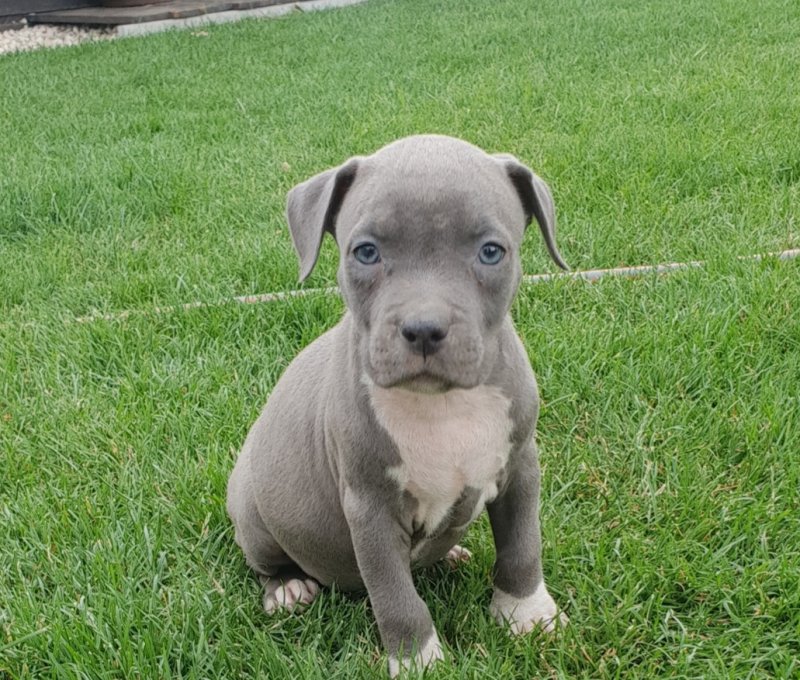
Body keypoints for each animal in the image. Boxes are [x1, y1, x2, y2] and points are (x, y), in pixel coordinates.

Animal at [227, 134, 568, 676]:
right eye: (365, 252)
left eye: (492, 252)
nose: (424, 328)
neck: (441, 406)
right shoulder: (370, 510)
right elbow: (395, 596)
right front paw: (417, 661)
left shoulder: (520, 467)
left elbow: (522, 546)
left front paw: (527, 614)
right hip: (253, 511)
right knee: (264, 561)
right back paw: (287, 589)